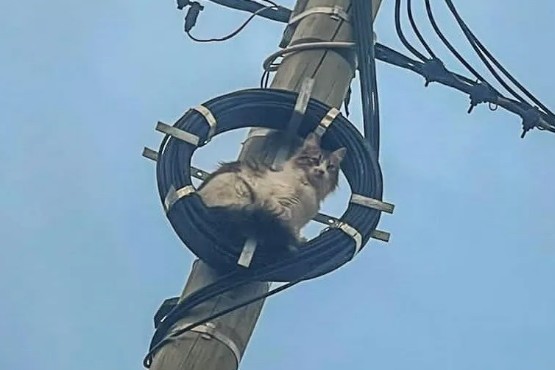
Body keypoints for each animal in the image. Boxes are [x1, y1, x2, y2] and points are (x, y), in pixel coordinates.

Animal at [197, 132, 348, 256]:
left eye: (330, 167)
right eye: (315, 160)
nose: (321, 171)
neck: (307, 186)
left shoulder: (298, 219)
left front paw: (297, 238)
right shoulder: (270, 195)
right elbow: (278, 208)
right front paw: (284, 219)